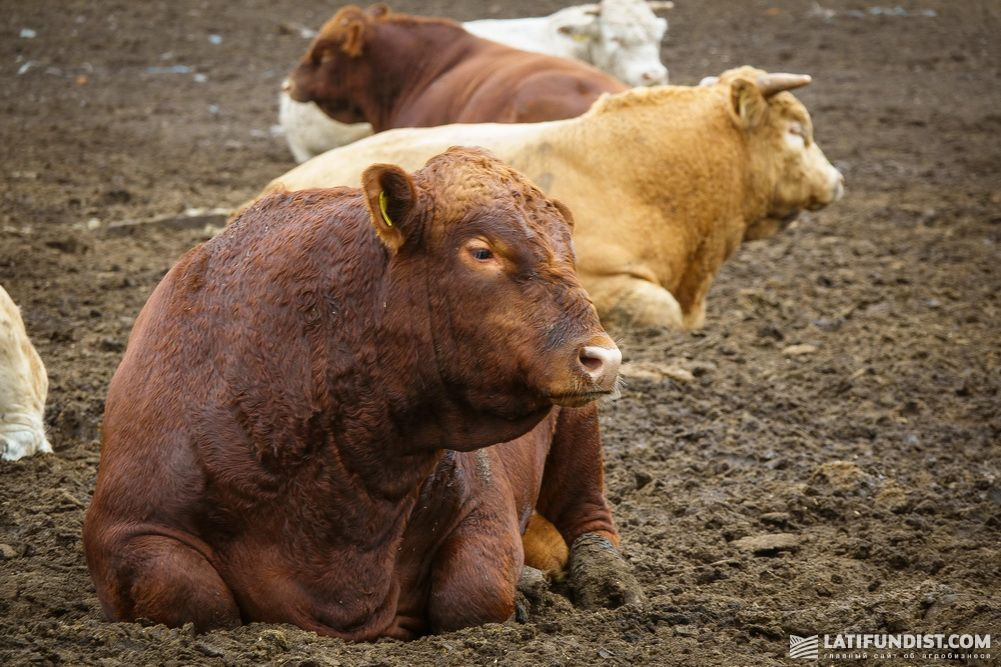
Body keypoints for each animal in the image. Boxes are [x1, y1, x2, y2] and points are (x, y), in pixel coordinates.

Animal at [82, 148, 636, 636]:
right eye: (481, 250)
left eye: (571, 253)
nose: (602, 357)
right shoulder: (127, 527)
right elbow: (192, 597)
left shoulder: (484, 503)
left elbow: (474, 592)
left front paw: (522, 587)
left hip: (579, 429)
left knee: (589, 510)